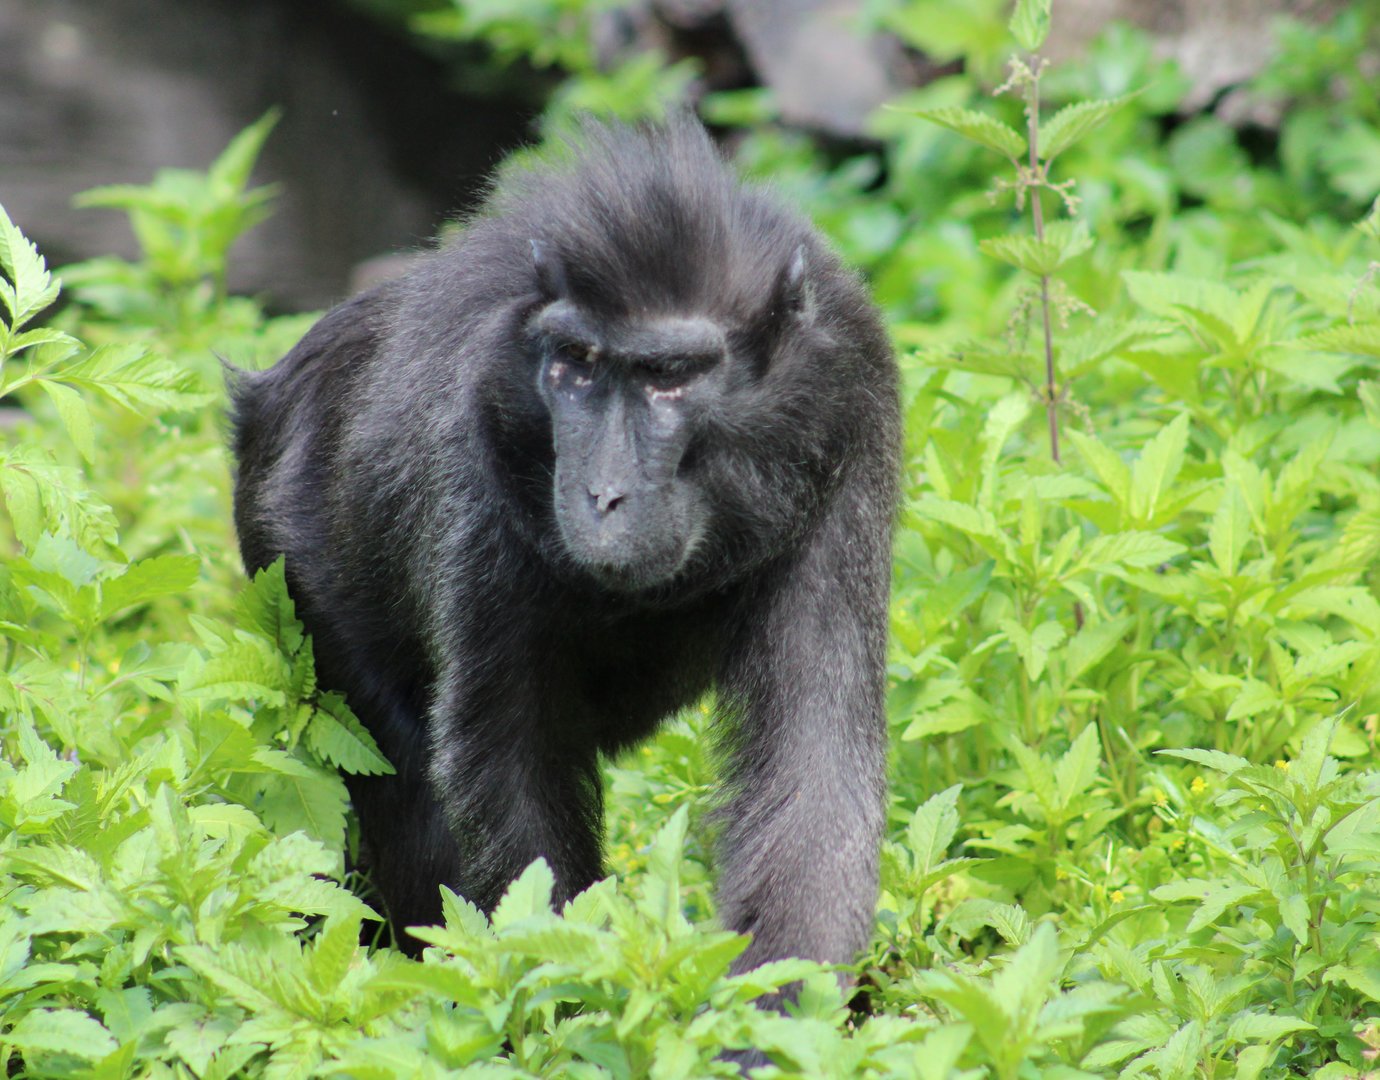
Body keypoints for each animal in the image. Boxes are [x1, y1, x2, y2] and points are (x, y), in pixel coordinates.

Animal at [229, 116, 901, 980]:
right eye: (576, 366)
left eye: (668, 376)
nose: (602, 494)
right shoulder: (480, 454)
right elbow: (510, 772)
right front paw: (572, 992)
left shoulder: (850, 424)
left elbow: (816, 762)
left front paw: (779, 1002)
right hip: (293, 552)